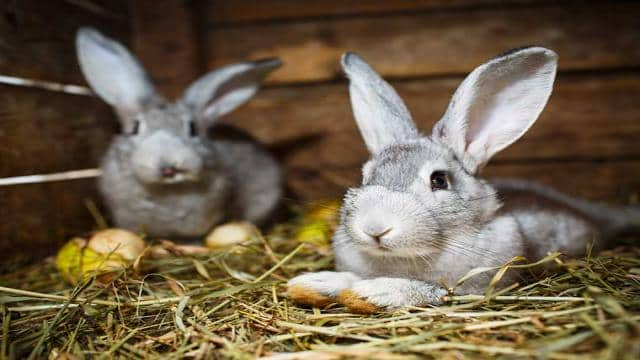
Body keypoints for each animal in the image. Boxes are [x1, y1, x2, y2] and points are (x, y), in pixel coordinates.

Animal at [286, 47, 640, 312]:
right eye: (365, 175)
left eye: (439, 180)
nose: (375, 228)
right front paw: (310, 284)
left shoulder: (471, 286)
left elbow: (430, 290)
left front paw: (373, 294)